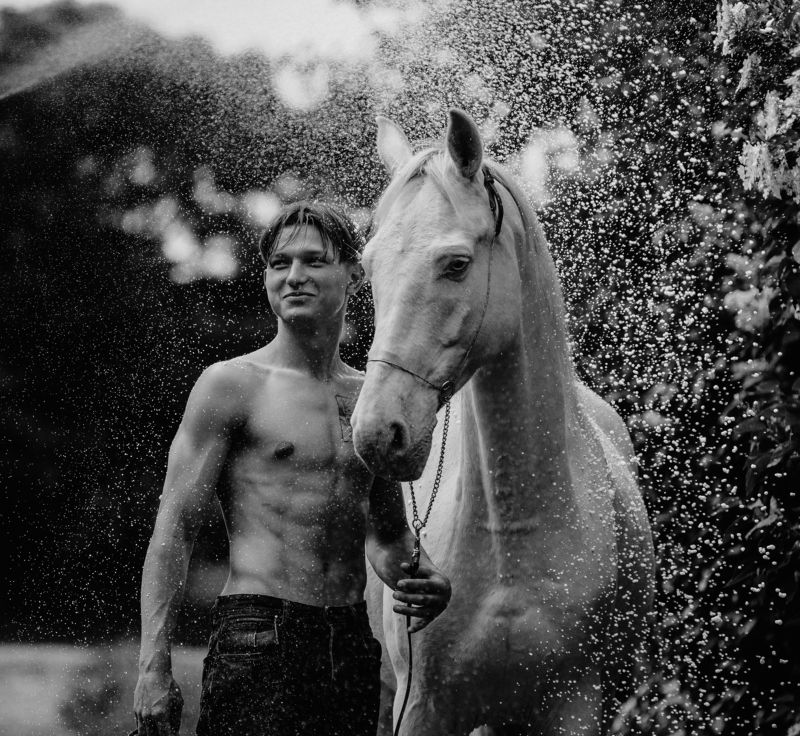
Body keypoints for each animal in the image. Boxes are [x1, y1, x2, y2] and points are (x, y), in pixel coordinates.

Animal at [351, 109, 655, 736]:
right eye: (368, 266)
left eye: (456, 264)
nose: (376, 434)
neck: (510, 536)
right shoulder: (421, 705)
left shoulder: (574, 705)